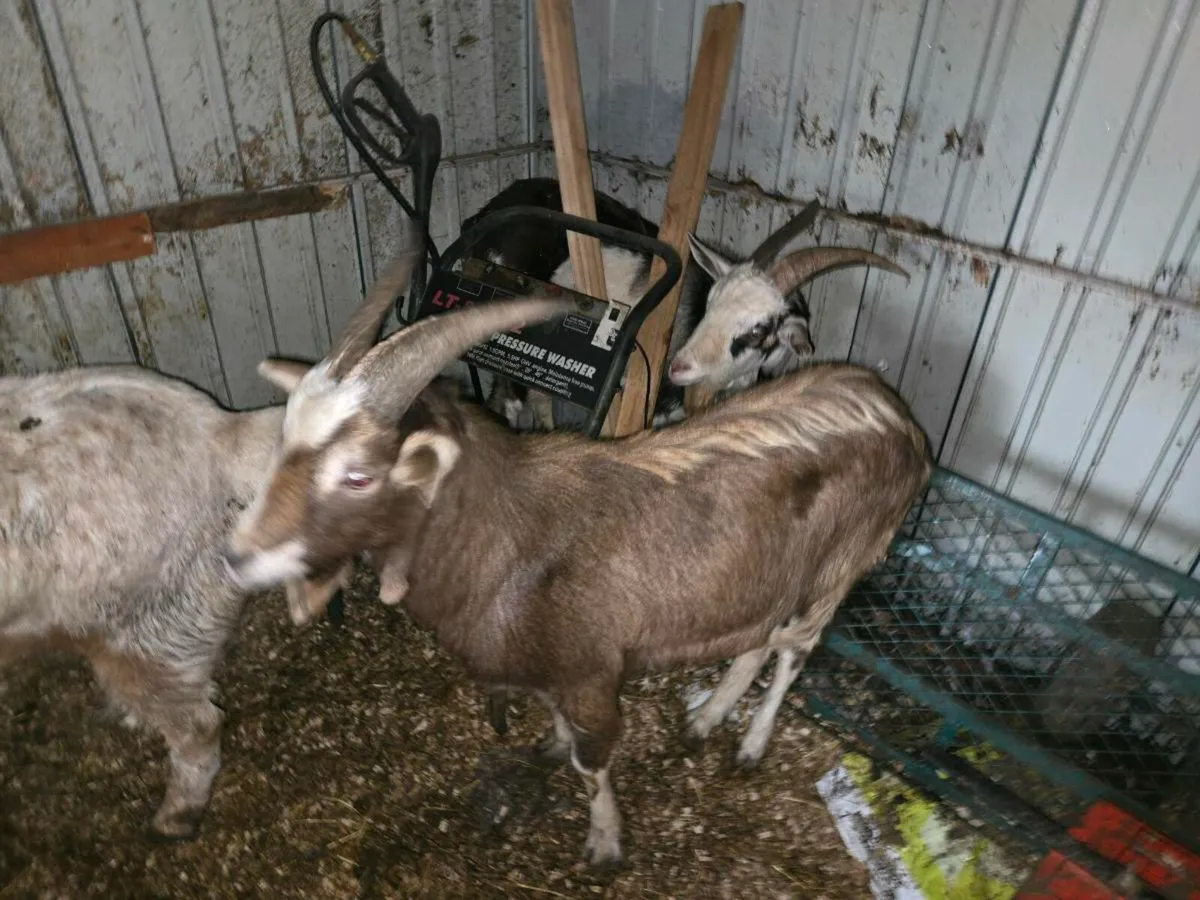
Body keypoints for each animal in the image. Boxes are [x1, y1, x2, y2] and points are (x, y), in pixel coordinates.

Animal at [223, 231, 934, 868]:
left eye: (358, 476)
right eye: (284, 440)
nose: (236, 558)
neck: (510, 531)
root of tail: (893, 410)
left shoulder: (591, 671)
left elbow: (592, 761)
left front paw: (605, 843)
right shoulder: (548, 666)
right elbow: (556, 722)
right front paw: (550, 744)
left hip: (841, 562)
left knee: (795, 648)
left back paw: (750, 745)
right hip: (776, 569)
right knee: (762, 636)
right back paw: (707, 718)